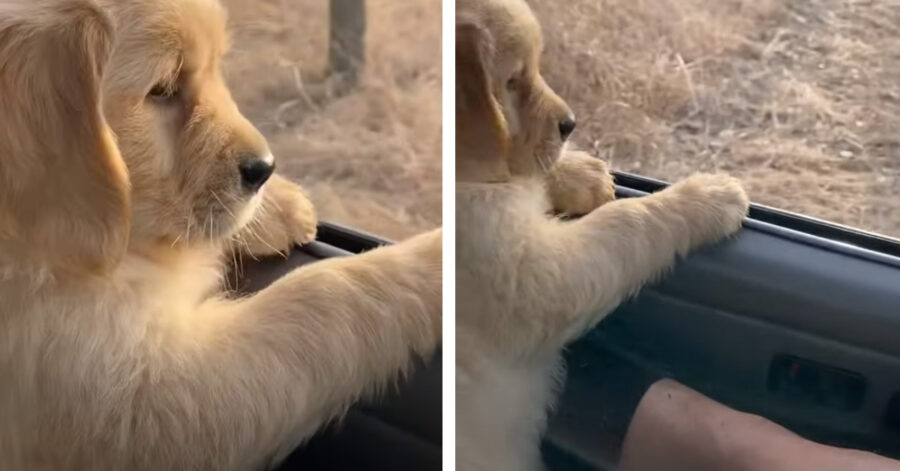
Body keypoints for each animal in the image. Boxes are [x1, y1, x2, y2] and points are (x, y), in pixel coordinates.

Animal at [0, 0, 442, 471]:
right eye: (161, 89)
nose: (265, 168)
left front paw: (282, 207)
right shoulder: (143, 401)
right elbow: (320, 292)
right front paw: (442, 258)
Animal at [454, 0, 748, 471]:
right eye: (511, 82)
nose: (570, 124)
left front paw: (582, 174)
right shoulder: (527, 276)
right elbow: (624, 219)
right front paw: (709, 195)